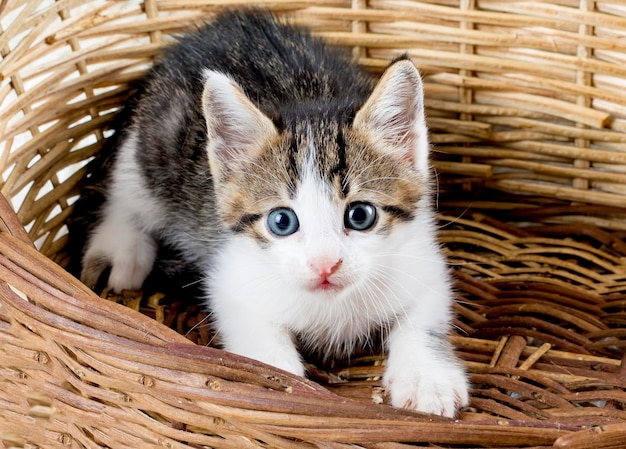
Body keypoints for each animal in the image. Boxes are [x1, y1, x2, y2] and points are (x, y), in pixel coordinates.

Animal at [78, 7, 466, 416]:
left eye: (360, 215)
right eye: (282, 221)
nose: (325, 266)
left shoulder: (423, 262)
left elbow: (423, 318)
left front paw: (426, 378)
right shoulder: (232, 279)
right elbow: (259, 342)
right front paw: (276, 389)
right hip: (152, 143)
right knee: (126, 194)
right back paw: (122, 254)